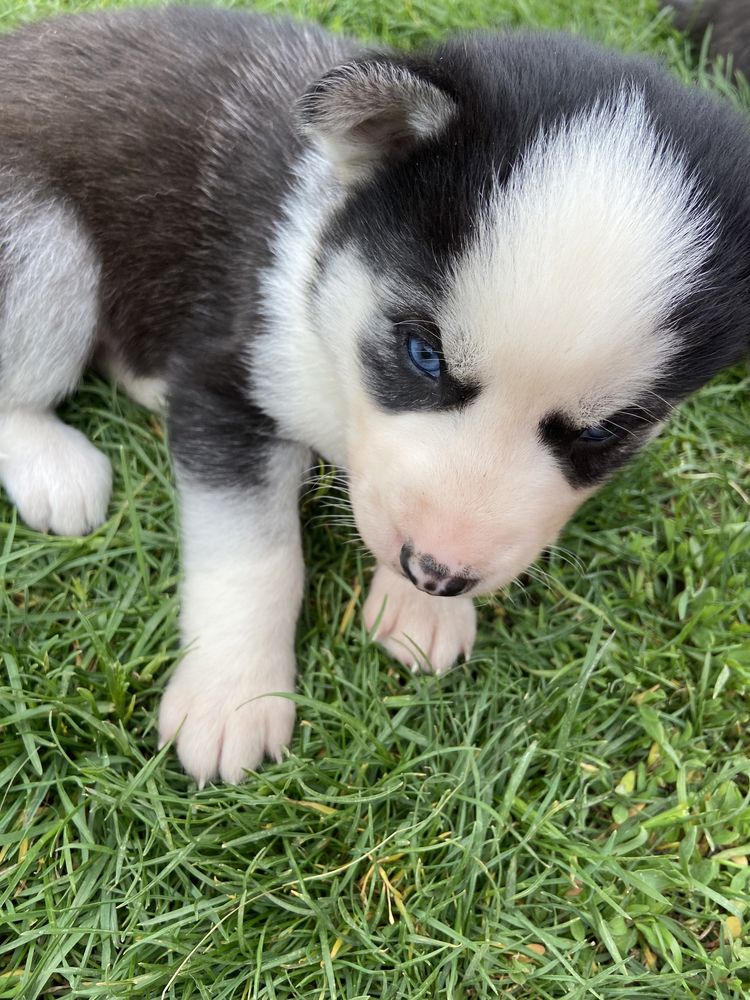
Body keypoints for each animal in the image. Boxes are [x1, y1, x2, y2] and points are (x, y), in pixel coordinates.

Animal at [0, 11, 748, 784]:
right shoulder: (229, 377)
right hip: (46, 245)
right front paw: (233, 694)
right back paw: (54, 464)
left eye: (604, 433)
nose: (437, 574)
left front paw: (421, 612)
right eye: (424, 354)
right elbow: (256, 560)